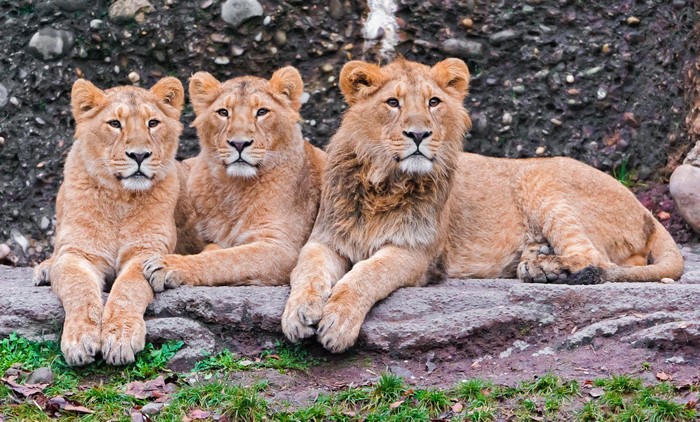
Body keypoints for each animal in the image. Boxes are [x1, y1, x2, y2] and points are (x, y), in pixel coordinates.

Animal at [32, 77, 185, 366]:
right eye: (115, 124)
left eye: (153, 123)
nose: (139, 155)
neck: (120, 199)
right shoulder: (78, 253)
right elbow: (79, 288)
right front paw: (80, 339)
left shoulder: (146, 252)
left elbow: (128, 288)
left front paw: (120, 337)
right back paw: (45, 268)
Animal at [142, 67, 326, 289]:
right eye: (223, 112)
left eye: (262, 112)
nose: (239, 143)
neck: (235, 187)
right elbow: (220, 252)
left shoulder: (285, 249)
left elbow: (228, 258)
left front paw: (169, 265)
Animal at [281, 58, 684, 353]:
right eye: (392, 103)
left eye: (433, 102)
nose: (418, 134)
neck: (384, 183)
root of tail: (645, 209)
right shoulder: (325, 240)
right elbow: (305, 271)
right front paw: (299, 314)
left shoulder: (417, 252)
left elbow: (366, 276)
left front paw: (336, 322)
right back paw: (537, 262)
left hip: (539, 177)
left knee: (597, 260)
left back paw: (548, 270)